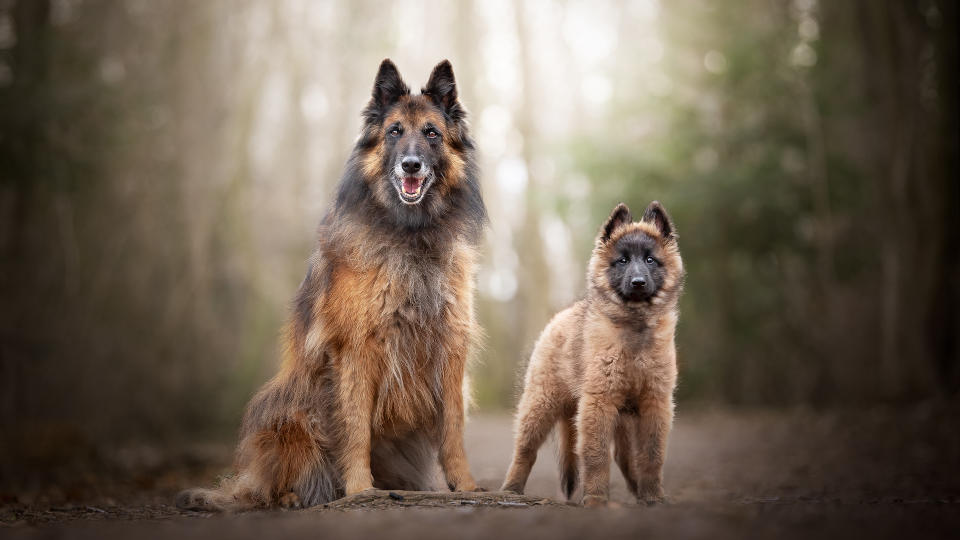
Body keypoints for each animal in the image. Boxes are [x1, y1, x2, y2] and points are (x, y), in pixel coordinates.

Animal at [176, 59, 484, 510]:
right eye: (394, 131)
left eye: (431, 133)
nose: (411, 165)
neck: (410, 236)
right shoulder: (357, 347)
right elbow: (354, 427)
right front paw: (359, 489)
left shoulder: (450, 344)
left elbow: (454, 426)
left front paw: (466, 485)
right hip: (287, 409)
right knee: (272, 481)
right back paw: (294, 496)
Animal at [502, 201, 684, 506]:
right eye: (622, 261)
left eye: (650, 260)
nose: (637, 282)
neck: (633, 327)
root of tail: (560, 316)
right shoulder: (599, 402)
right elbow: (596, 454)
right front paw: (597, 499)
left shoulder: (654, 403)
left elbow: (651, 455)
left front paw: (653, 497)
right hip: (540, 404)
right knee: (524, 449)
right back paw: (511, 488)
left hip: (623, 420)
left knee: (625, 458)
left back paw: (637, 491)